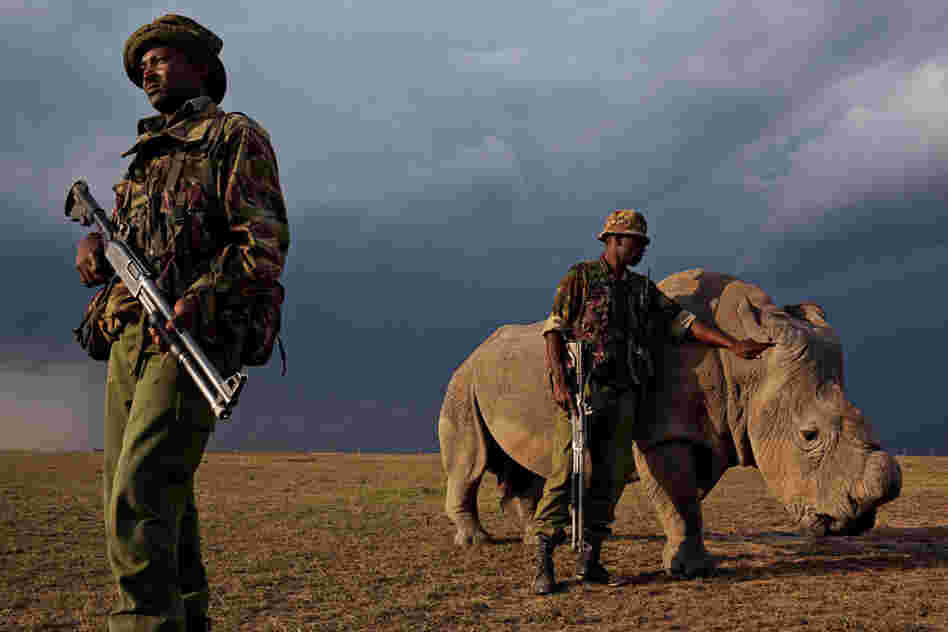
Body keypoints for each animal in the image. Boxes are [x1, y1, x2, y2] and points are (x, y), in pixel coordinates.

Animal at [438, 268, 902, 576]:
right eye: (808, 436)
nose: (858, 519)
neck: (746, 371)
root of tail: (474, 352)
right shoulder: (663, 432)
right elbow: (677, 494)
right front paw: (689, 569)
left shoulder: (712, 430)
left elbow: (685, 495)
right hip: (462, 379)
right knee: (471, 461)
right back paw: (477, 542)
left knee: (531, 469)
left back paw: (533, 535)